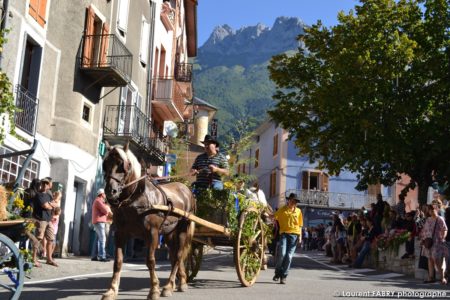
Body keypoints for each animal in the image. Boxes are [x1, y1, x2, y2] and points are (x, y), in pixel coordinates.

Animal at [100, 143, 195, 300]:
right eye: (105, 164)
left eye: (124, 165)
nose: (110, 191)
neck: (135, 200)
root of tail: (187, 190)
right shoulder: (120, 233)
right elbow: (118, 262)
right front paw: (111, 290)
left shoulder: (153, 233)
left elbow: (150, 261)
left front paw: (154, 289)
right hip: (169, 233)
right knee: (174, 256)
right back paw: (179, 283)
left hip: (182, 229)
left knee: (179, 255)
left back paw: (168, 286)